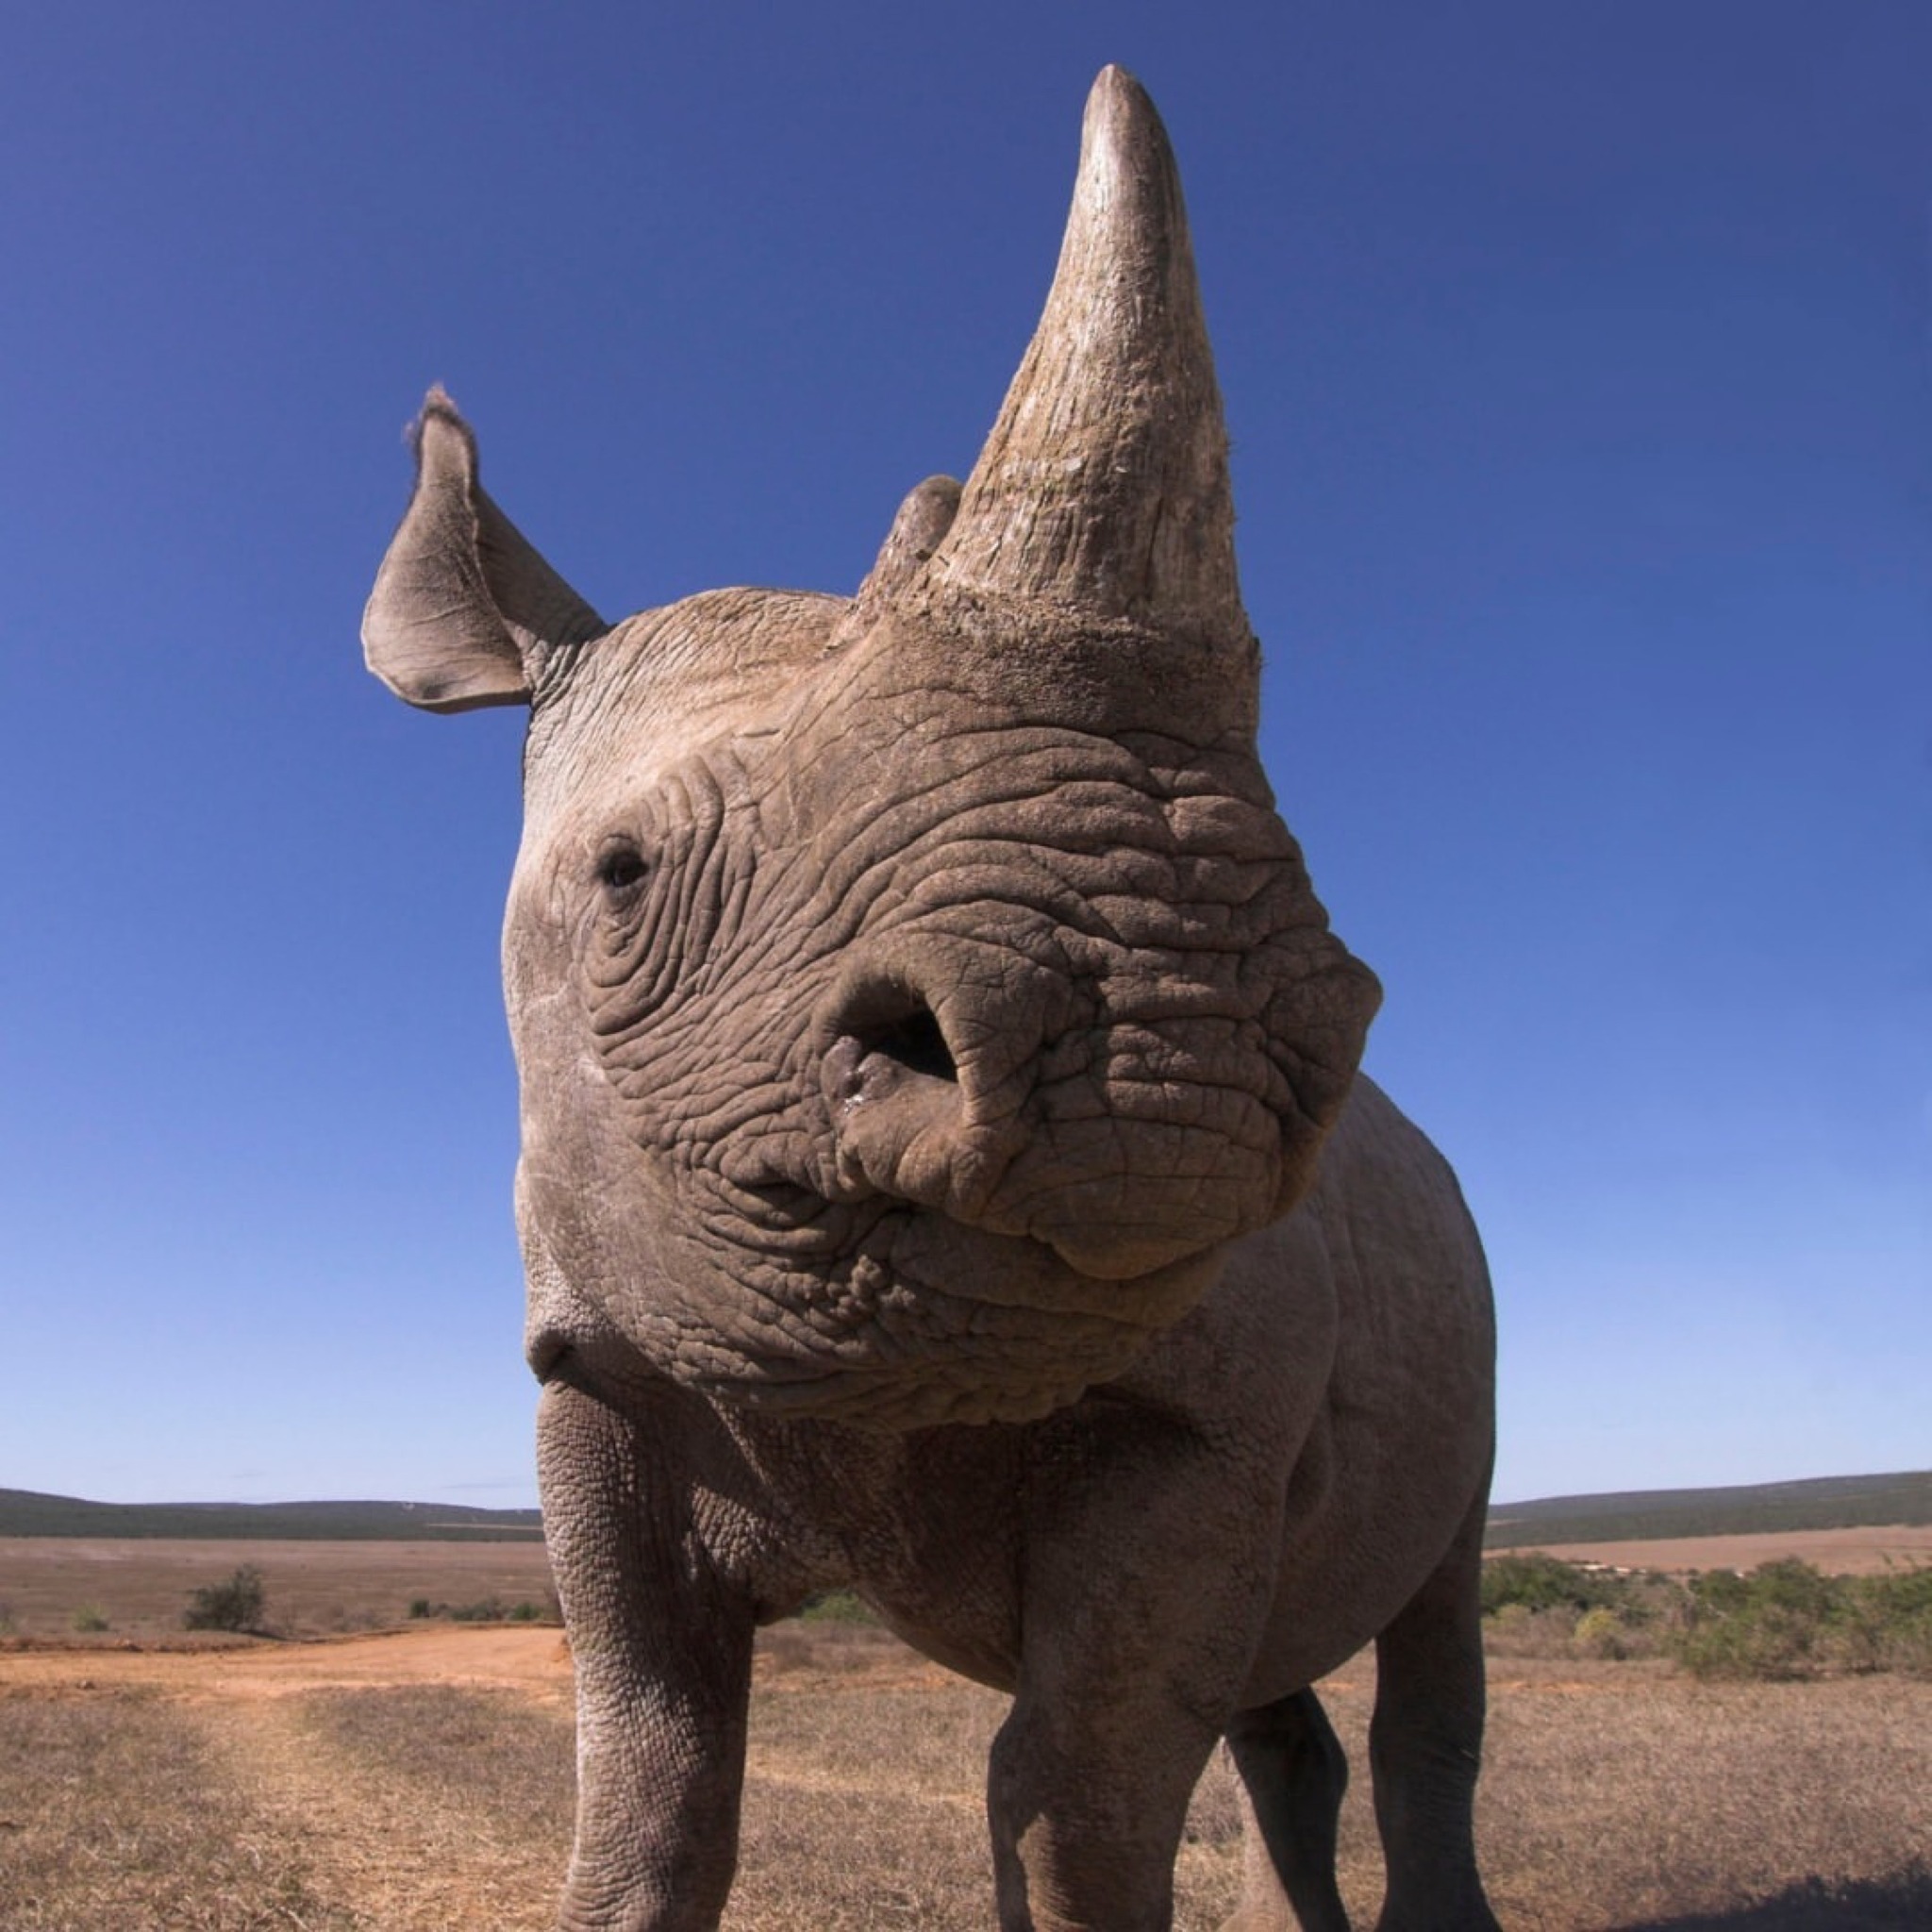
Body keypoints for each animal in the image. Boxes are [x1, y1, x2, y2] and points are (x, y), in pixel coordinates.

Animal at [364, 65, 1500, 1932]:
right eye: (623, 877)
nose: (1161, 1041)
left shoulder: (1207, 1418)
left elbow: (1074, 1802)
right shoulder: (596, 1368)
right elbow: (645, 1774)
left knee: (1431, 1610)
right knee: (1286, 1685)